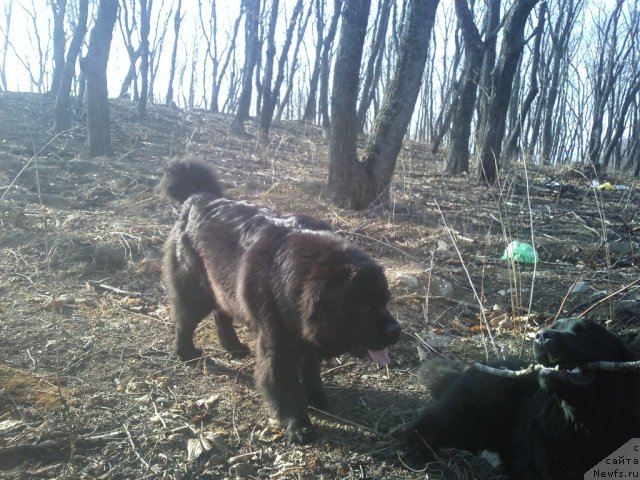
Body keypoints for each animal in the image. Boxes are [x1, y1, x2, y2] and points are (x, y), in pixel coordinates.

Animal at [159, 158, 400, 442]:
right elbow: (284, 383)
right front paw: (299, 425)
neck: (299, 281)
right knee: (185, 321)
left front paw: (316, 396)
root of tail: (198, 196)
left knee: (222, 314)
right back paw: (186, 353)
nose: (396, 330)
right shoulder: (278, 342)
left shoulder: (306, 335)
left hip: (222, 287)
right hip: (196, 290)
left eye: (384, 301)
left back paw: (233, 347)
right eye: (362, 306)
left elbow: (310, 369)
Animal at [408, 318, 640, 480]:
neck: (584, 422)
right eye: (554, 325)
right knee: (422, 426)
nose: (541, 335)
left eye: (584, 333)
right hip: (465, 416)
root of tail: (462, 373)